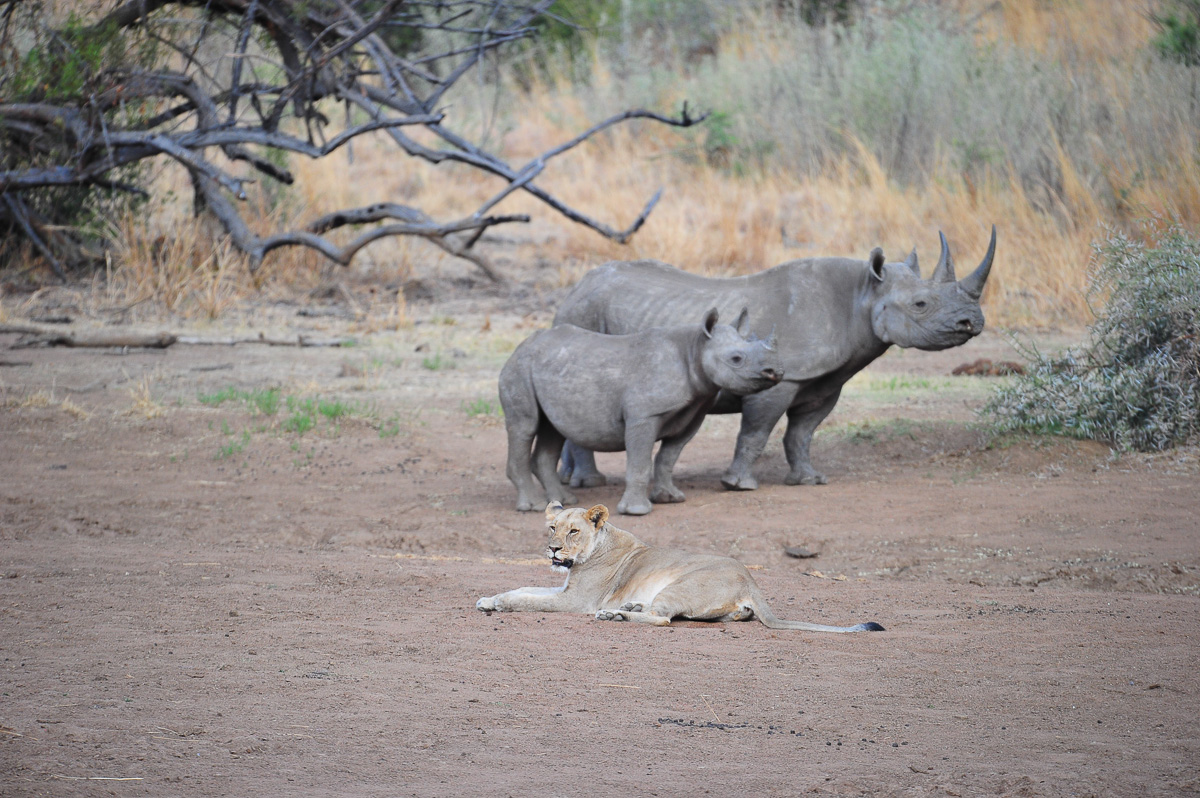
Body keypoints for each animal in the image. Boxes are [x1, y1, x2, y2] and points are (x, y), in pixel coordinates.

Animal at [476, 502, 885, 633]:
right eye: (552, 527)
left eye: (574, 531)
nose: (552, 549)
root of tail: (750, 579)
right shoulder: (565, 590)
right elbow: (523, 590)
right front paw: (489, 598)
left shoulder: (577, 601)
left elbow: (527, 600)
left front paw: (499, 605)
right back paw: (625, 608)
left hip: (679, 584)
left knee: (663, 619)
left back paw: (614, 615)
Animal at [499, 308, 782, 515]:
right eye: (736, 359)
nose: (776, 371)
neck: (695, 348)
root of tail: (519, 347)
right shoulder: (644, 416)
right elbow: (640, 461)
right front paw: (636, 511)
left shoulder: (693, 413)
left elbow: (668, 457)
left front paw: (670, 498)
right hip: (519, 369)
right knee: (525, 427)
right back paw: (533, 507)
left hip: (547, 368)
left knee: (552, 430)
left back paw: (564, 502)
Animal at [555, 226, 997, 491]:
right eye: (921, 304)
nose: (972, 322)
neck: (862, 294)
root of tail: (575, 287)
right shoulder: (781, 378)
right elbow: (756, 432)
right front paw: (738, 485)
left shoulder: (824, 380)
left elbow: (802, 433)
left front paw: (809, 480)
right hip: (584, 312)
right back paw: (591, 484)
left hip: (587, 311)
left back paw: (572, 480)